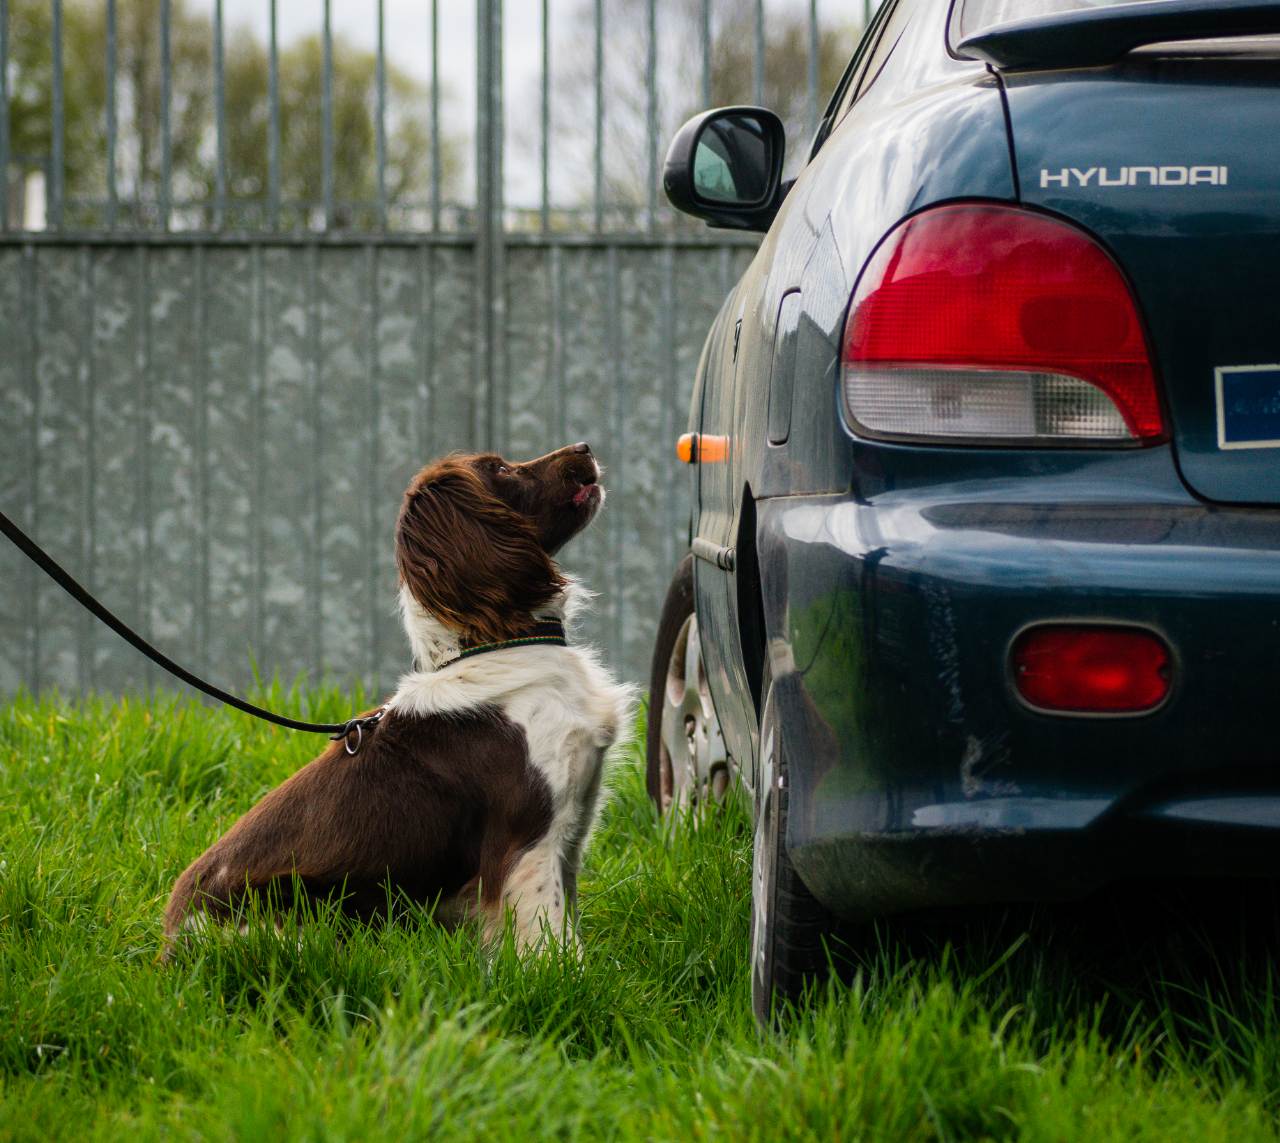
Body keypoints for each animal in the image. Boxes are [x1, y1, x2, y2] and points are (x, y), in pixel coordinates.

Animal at [162, 442, 632, 952]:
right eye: (500, 469)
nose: (585, 447)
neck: (501, 644)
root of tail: (172, 940)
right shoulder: (529, 837)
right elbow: (551, 940)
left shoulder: (573, 824)